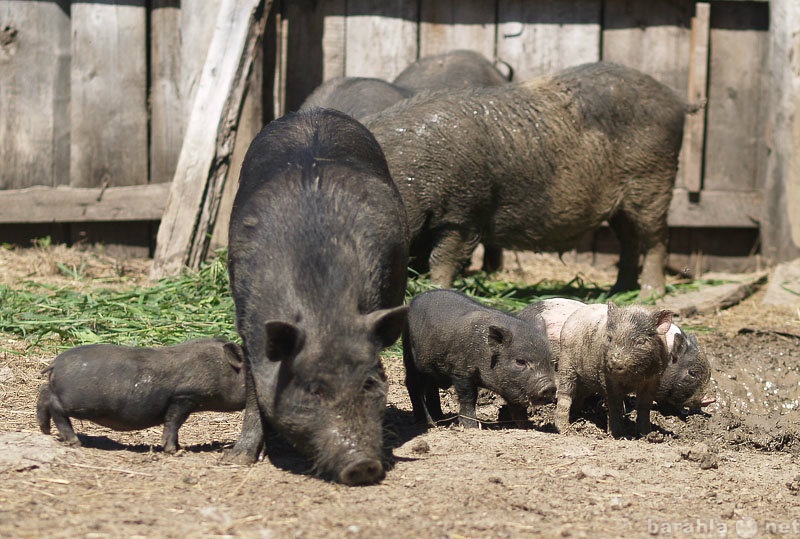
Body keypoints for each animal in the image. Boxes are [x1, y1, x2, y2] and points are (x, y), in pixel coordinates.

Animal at [35, 340, 247, 454]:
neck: (222, 368)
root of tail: (56, 363)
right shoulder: (184, 396)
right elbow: (173, 422)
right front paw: (173, 451)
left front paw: (178, 447)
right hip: (74, 401)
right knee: (55, 405)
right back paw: (74, 442)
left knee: (44, 391)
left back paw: (45, 431)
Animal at [227, 107, 410, 488]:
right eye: (313, 390)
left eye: (369, 383)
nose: (363, 465)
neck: (323, 313)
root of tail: (313, 112)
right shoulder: (245, 323)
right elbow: (252, 389)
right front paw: (237, 459)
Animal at [366, 63, 696, 300]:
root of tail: (675, 98)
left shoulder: (464, 213)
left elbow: (443, 261)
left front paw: (436, 291)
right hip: (621, 205)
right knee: (629, 241)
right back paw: (616, 292)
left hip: (653, 180)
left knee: (656, 238)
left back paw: (649, 295)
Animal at [552, 302, 672, 436]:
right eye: (609, 338)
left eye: (641, 341)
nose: (615, 362)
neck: (632, 378)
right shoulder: (606, 377)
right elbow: (615, 404)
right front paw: (617, 435)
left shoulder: (654, 379)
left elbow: (644, 405)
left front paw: (646, 434)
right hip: (566, 363)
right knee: (565, 394)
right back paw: (565, 430)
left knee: (579, 394)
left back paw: (579, 415)